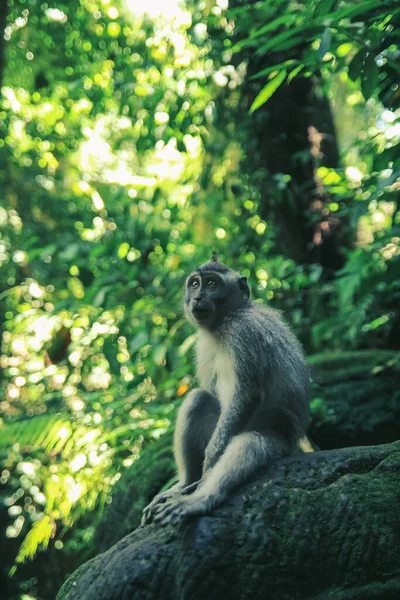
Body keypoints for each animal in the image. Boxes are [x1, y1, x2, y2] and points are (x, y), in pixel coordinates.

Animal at [142, 253, 310, 524]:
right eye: (195, 284)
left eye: (212, 284)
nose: (198, 297)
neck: (225, 321)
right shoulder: (203, 345)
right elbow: (210, 395)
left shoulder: (244, 333)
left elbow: (247, 397)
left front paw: (210, 466)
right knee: (198, 400)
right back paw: (185, 483)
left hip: (280, 443)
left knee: (250, 443)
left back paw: (201, 497)